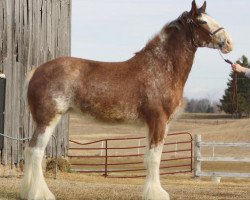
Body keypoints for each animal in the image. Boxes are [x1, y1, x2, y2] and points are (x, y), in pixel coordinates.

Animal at [20, 0, 233, 199]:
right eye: (203, 21)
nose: (229, 43)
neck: (160, 69)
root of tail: (36, 71)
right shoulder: (158, 120)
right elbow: (154, 158)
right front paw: (156, 194)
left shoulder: (154, 125)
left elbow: (149, 158)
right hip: (48, 120)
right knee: (36, 152)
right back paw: (41, 194)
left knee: (31, 151)